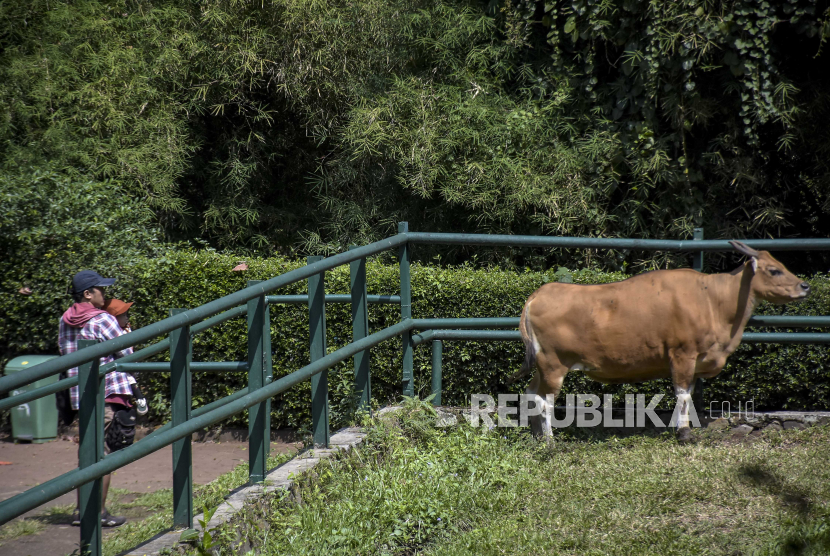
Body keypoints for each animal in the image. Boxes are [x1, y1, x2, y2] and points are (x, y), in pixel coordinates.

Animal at [520, 241, 812, 440]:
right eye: (774, 270)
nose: (805, 286)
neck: (712, 299)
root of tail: (538, 294)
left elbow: (688, 395)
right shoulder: (682, 354)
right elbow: (682, 395)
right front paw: (684, 433)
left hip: (542, 366)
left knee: (531, 393)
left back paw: (535, 435)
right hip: (554, 364)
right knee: (545, 400)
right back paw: (549, 441)